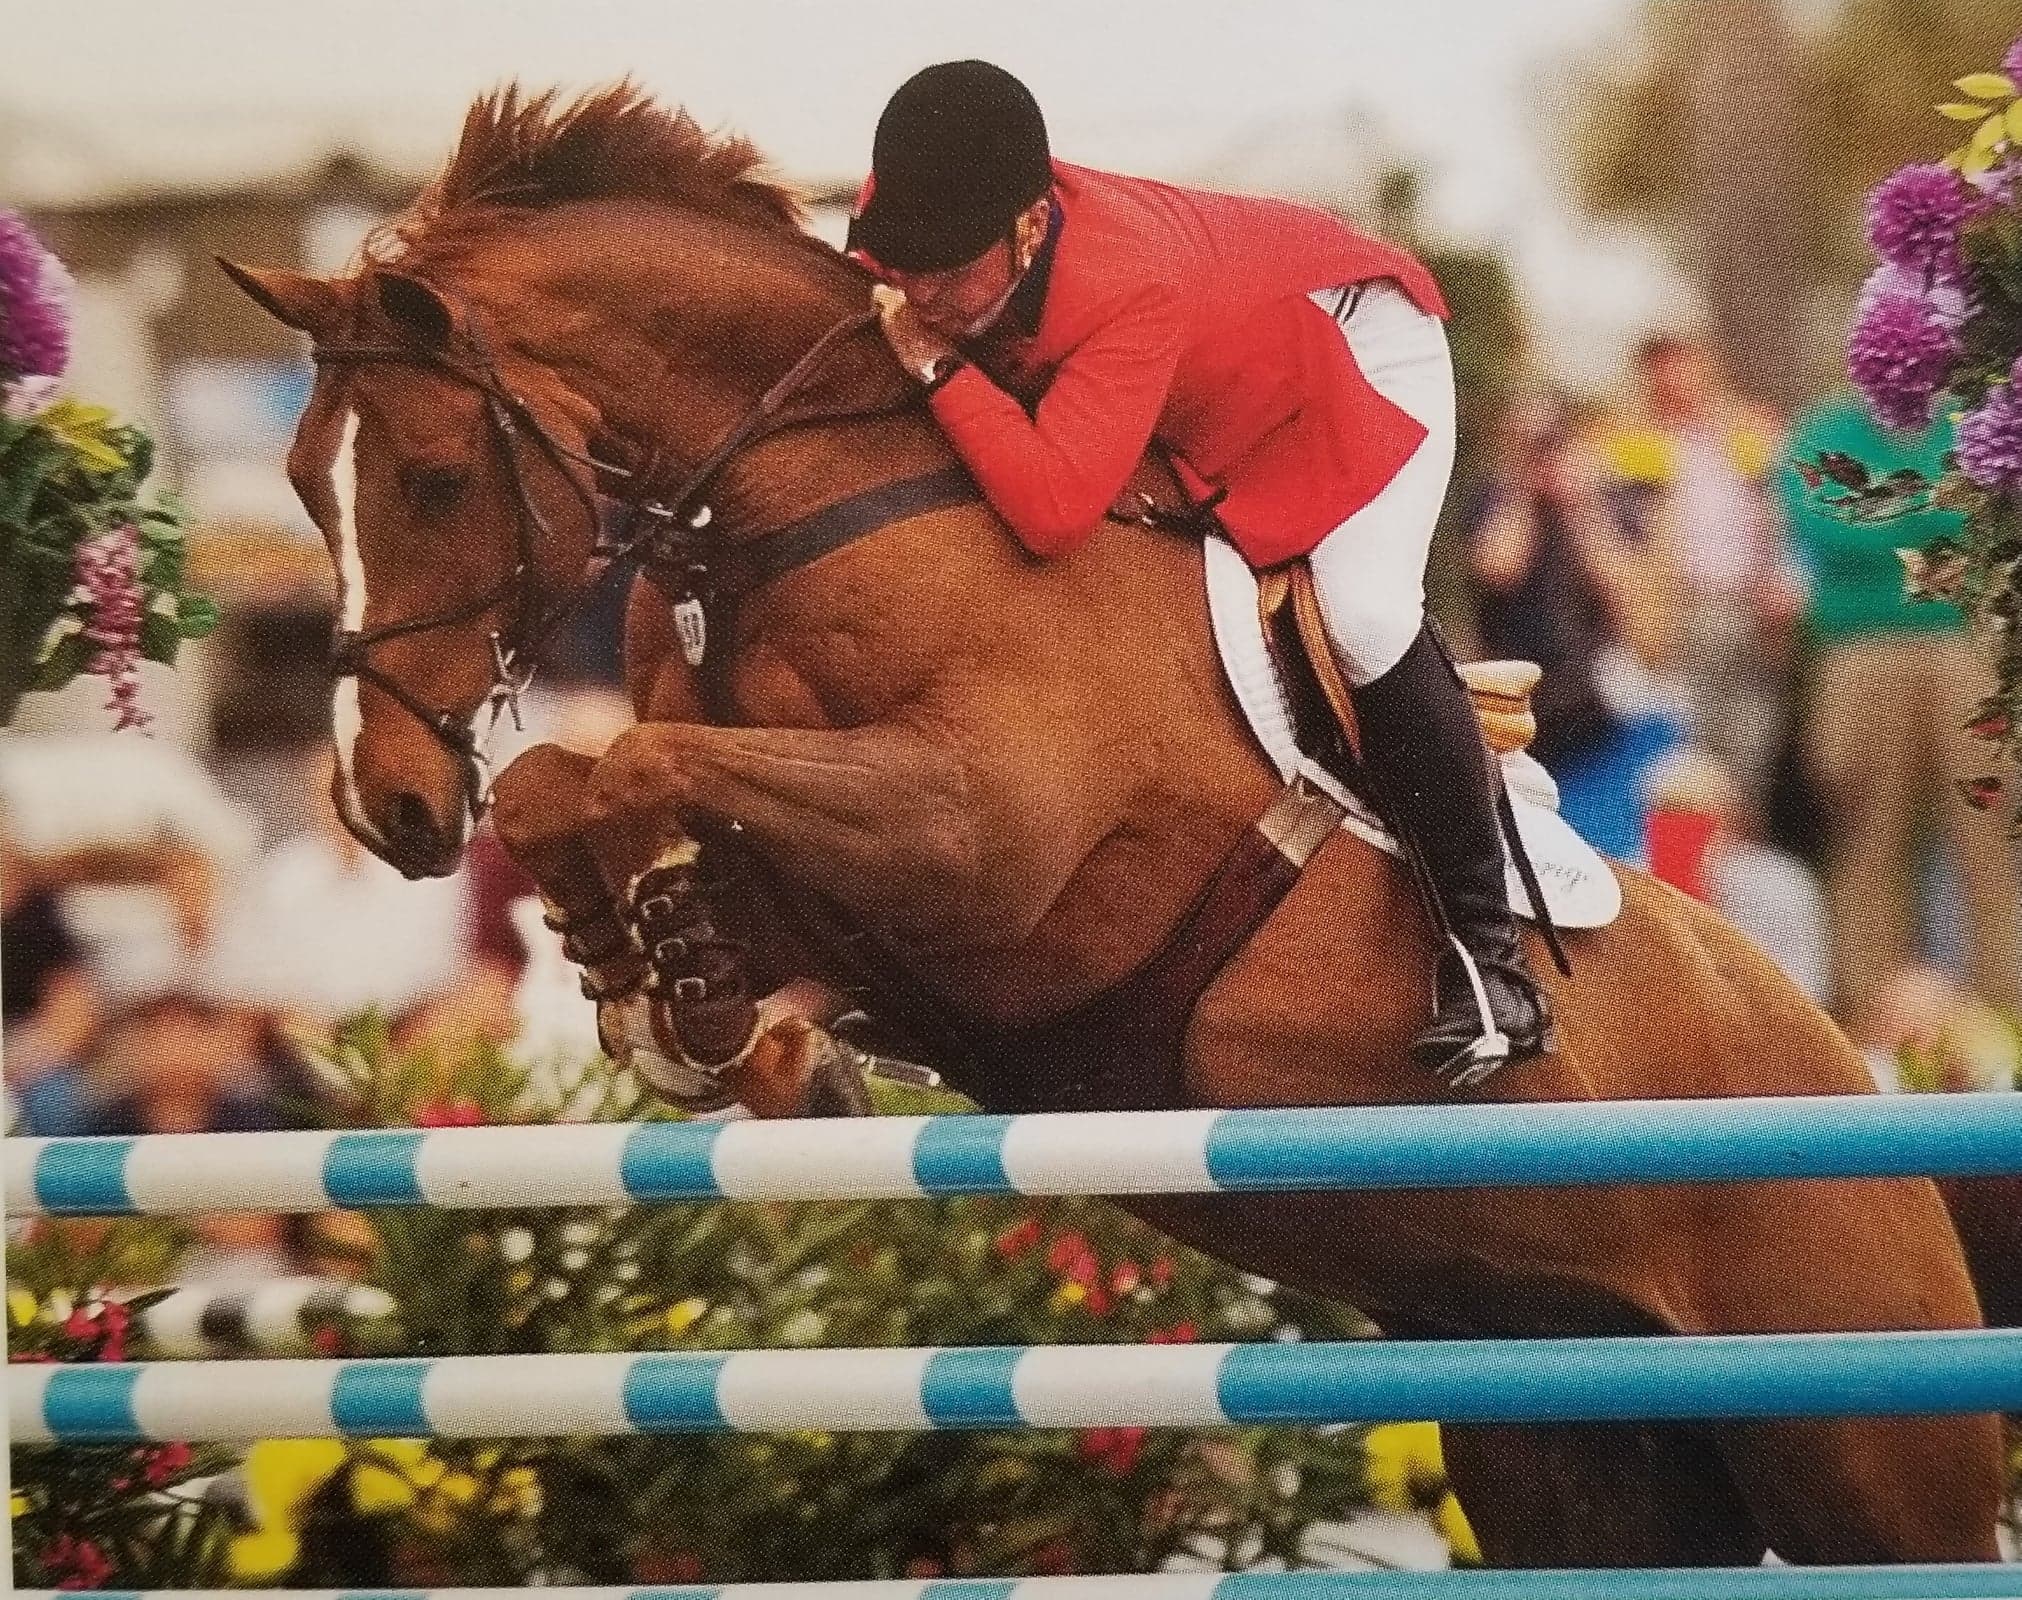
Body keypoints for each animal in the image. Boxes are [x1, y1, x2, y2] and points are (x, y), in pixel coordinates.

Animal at [221, 81, 2022, 1569]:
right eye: (304, 484)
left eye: (436, 479)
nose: (386, 804)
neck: (836, 505)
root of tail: (1855, 1074)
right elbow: (581, 787)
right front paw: (680, 993)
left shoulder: (972, 838)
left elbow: (635, 770)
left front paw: (683, 985)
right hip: (1569, 1435)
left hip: (1858, 1440)